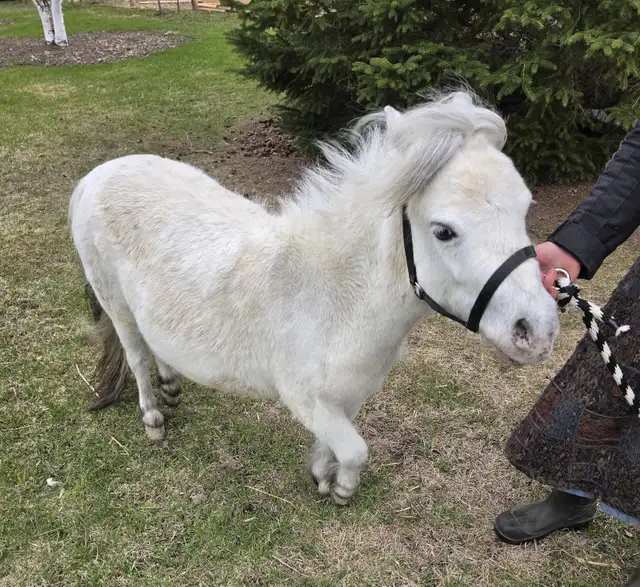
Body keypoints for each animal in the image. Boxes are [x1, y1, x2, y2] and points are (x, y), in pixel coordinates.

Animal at [68, 90, 560, 505]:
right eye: (443, 231)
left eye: (525, 208)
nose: (536, 331)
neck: (334, 298)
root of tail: (96, 176)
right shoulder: (304, 399)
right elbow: (356, 450)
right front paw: (342, 489)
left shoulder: (348, 396)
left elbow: (338, 444)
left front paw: (323, 476)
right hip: (116, 304)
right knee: (135, 355)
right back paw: (153, 417)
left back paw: (171, 385)